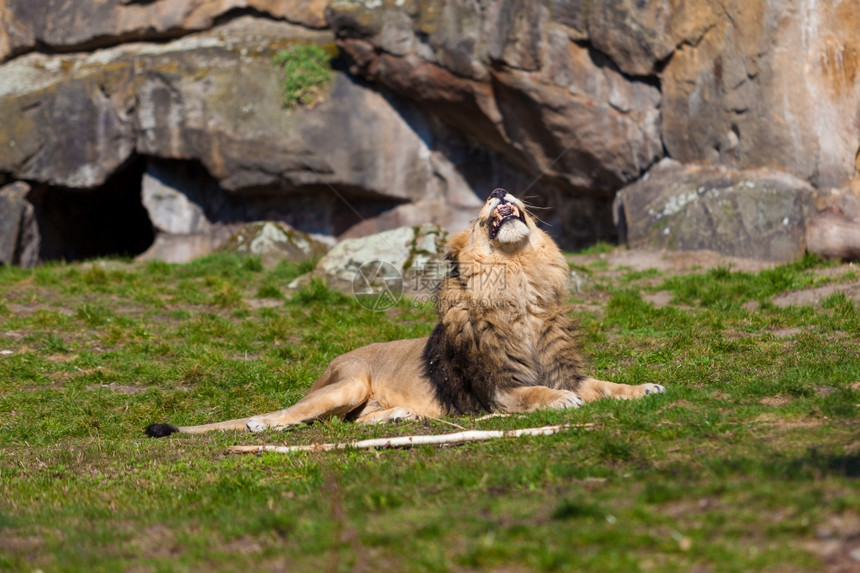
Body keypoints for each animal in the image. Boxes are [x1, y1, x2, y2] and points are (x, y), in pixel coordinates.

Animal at [146, 189, 664, 438]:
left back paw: (399, 418)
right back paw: (261, 424)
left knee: (351, 424)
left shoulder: (567, 370)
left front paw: (645, 388)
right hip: (348, 383)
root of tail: (332, 362)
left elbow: (605, 385)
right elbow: (536, 392)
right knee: (293, 412)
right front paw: (559, 402)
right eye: (479, 214)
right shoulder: (497, 391)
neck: (518, 281)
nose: (499, 189)